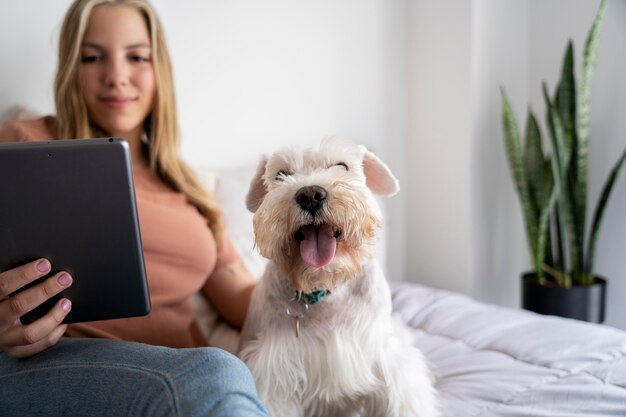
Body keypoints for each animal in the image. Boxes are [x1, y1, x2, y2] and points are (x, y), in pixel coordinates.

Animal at [239, 139, 438, 416]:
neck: (325, 287)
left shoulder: (385, 358)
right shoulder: (275, 377)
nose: (310, 194)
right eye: (281, 174)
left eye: (341, 166)